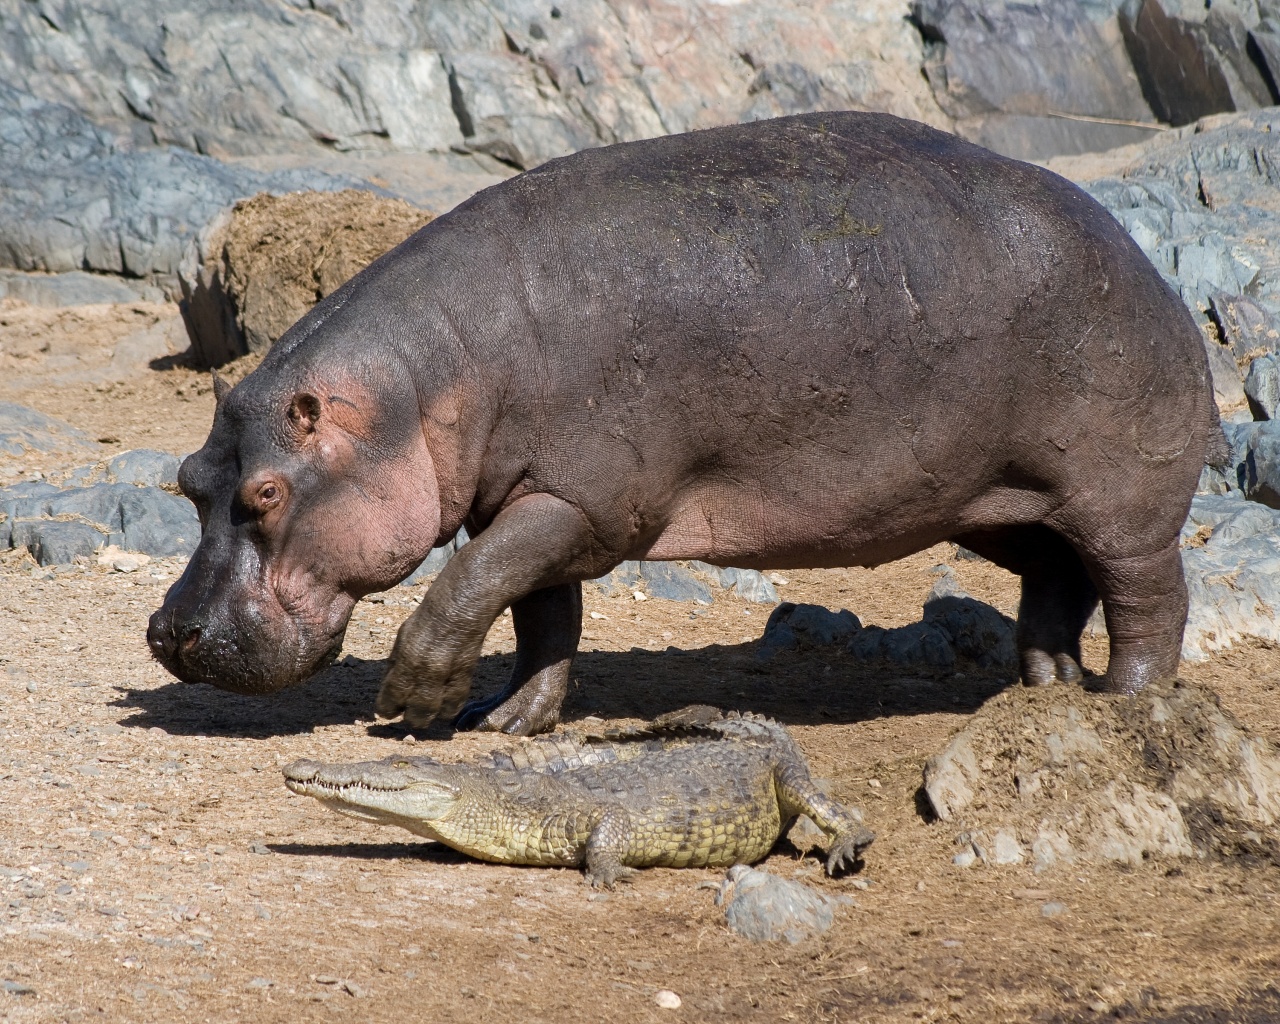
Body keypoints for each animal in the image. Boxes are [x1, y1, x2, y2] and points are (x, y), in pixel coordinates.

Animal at [149, 112, 1218, 732]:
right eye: (189, 482)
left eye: (266, 491)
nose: (167, 634)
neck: (423, 383)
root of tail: (1142, 259)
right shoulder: (532, 500)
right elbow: (537, 614)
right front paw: (508, 719)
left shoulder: (579, 500)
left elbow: (468, 589)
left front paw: (415, 704)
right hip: (998, 501)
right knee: (1057, 580)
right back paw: (1043, 686)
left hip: (1118, 498)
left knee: (1148, 593)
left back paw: (1125, 700)